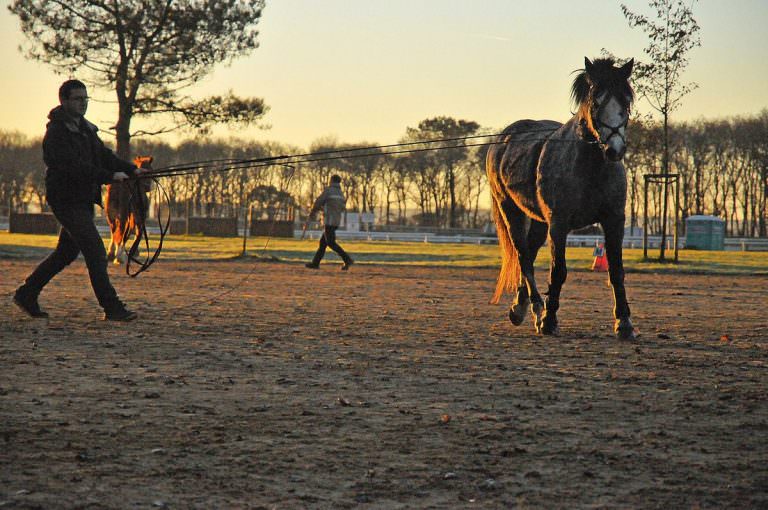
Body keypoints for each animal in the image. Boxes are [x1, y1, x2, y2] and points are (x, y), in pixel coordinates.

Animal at [488, 57, 640, 338]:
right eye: (596, 102)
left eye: (626, 102)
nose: (614, 149)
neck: (591, 166)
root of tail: (504, 138)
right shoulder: (559, 223)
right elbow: (558, 271)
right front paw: (549, 320)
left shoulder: (614, 220)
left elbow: (616, 271)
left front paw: (624, 323)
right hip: (510, 210)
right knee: (523, 256)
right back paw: (536, 309)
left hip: (539, 221)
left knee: (530, 252)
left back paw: (521, 306)